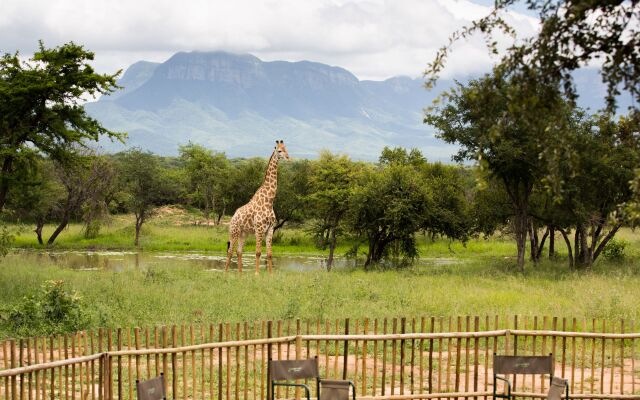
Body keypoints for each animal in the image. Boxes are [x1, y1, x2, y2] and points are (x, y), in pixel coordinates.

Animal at [222, 139, 288, 274]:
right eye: (279, 151)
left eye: (286, 149)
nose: (288, 157)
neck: (269, 201)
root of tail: (233, 217)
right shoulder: (259, 228)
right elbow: (258, 252)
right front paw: (257, 273)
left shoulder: (270, 229)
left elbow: (269, 254)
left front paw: (270, 274)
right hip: (234, 231)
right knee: (230, 251)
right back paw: (225, 273)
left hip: (244, 234)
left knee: (239, 251)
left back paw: (240, 274)